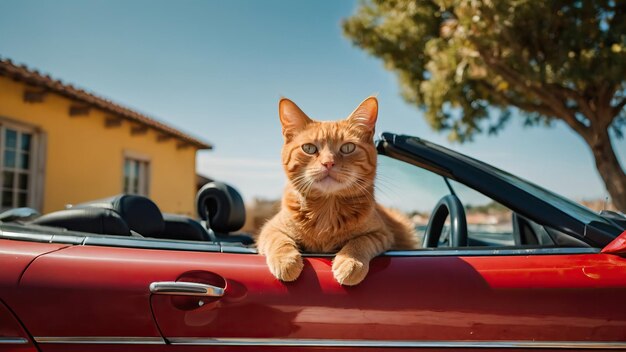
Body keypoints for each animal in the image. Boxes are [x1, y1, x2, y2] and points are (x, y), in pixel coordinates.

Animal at [256, 95, 416, 286]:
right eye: (309, 148)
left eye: (347, 148)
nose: (328, 163)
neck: (327, 209)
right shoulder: (269, 229)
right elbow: (278, 239)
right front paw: (286, 261)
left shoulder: (382, 234)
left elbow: (361, 240)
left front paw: (350, 262)